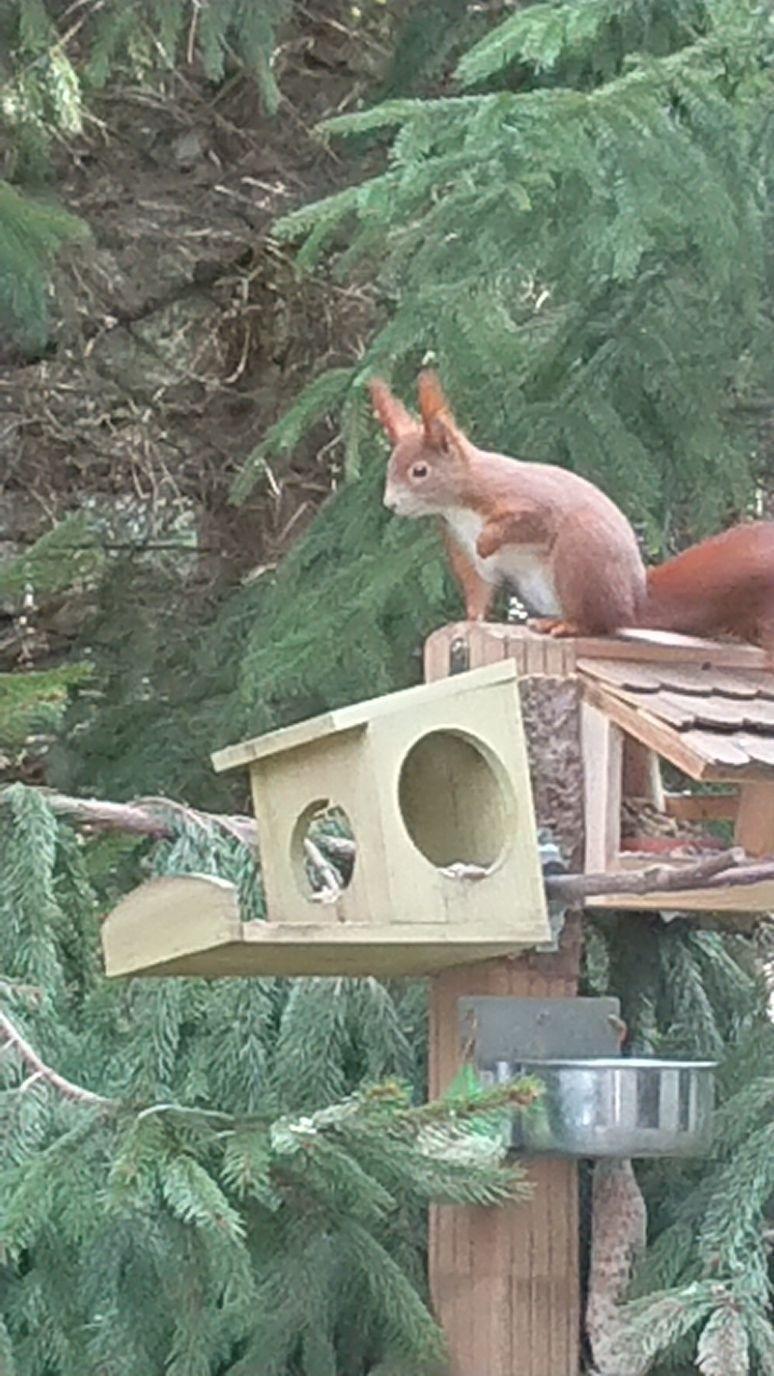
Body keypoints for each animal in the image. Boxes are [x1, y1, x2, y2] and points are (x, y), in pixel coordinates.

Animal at [370, 370, 646, 635]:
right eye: (390, 468)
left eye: (419, 471)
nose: (389, 503)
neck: (458, 506)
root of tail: (633, 603)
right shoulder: (462, 546)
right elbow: (479, 587)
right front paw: (470, 621)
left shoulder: (528, 500)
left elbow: (529, 521)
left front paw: (485, 541)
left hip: (582, 554)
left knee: (598, 621)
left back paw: (568, 624)